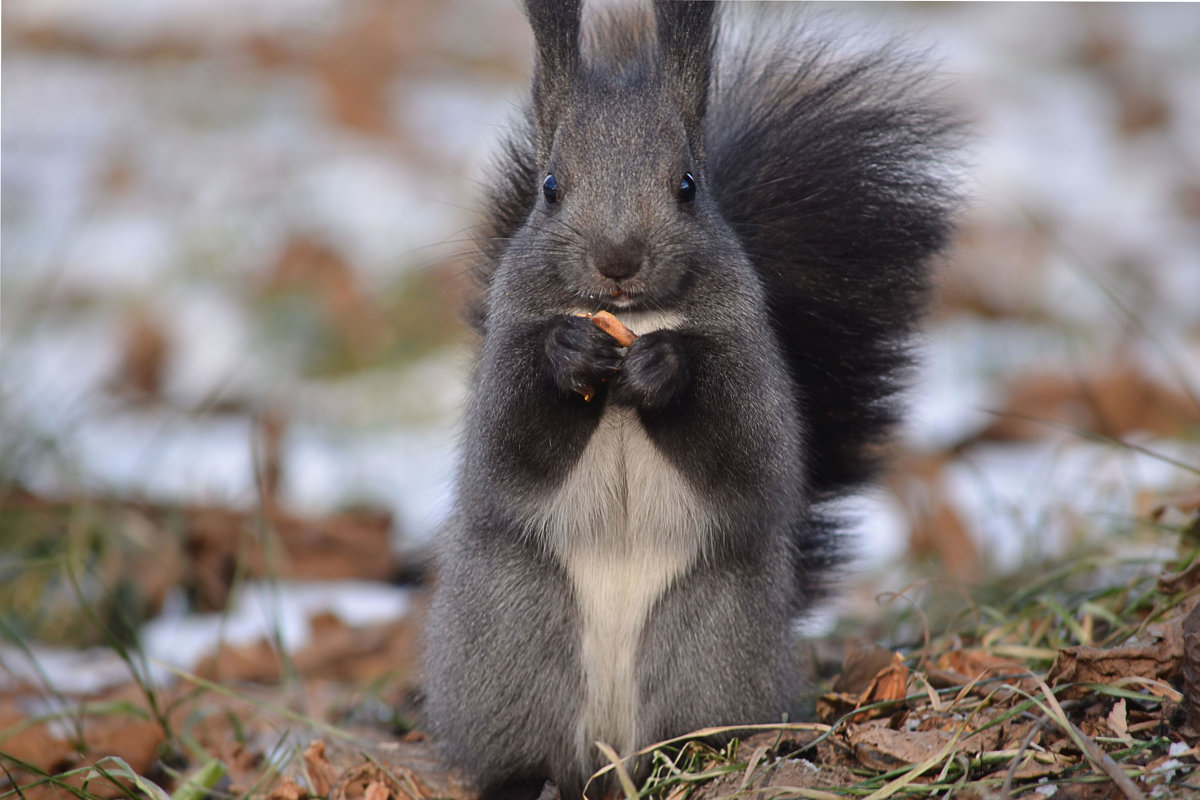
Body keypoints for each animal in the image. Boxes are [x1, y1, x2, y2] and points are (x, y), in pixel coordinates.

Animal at [427, 3, 960, 796]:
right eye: (550, 186)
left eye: (687, 185)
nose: (618, 260)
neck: (635, 318)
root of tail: (612, 756)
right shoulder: (501, 363)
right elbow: (509, 448)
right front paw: (569, 353)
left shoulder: (751, 362)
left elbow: (747, 454)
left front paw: (666, 368)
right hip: (511, 645)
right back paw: (530, 778)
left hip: (711, 648)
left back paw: (692, 761)